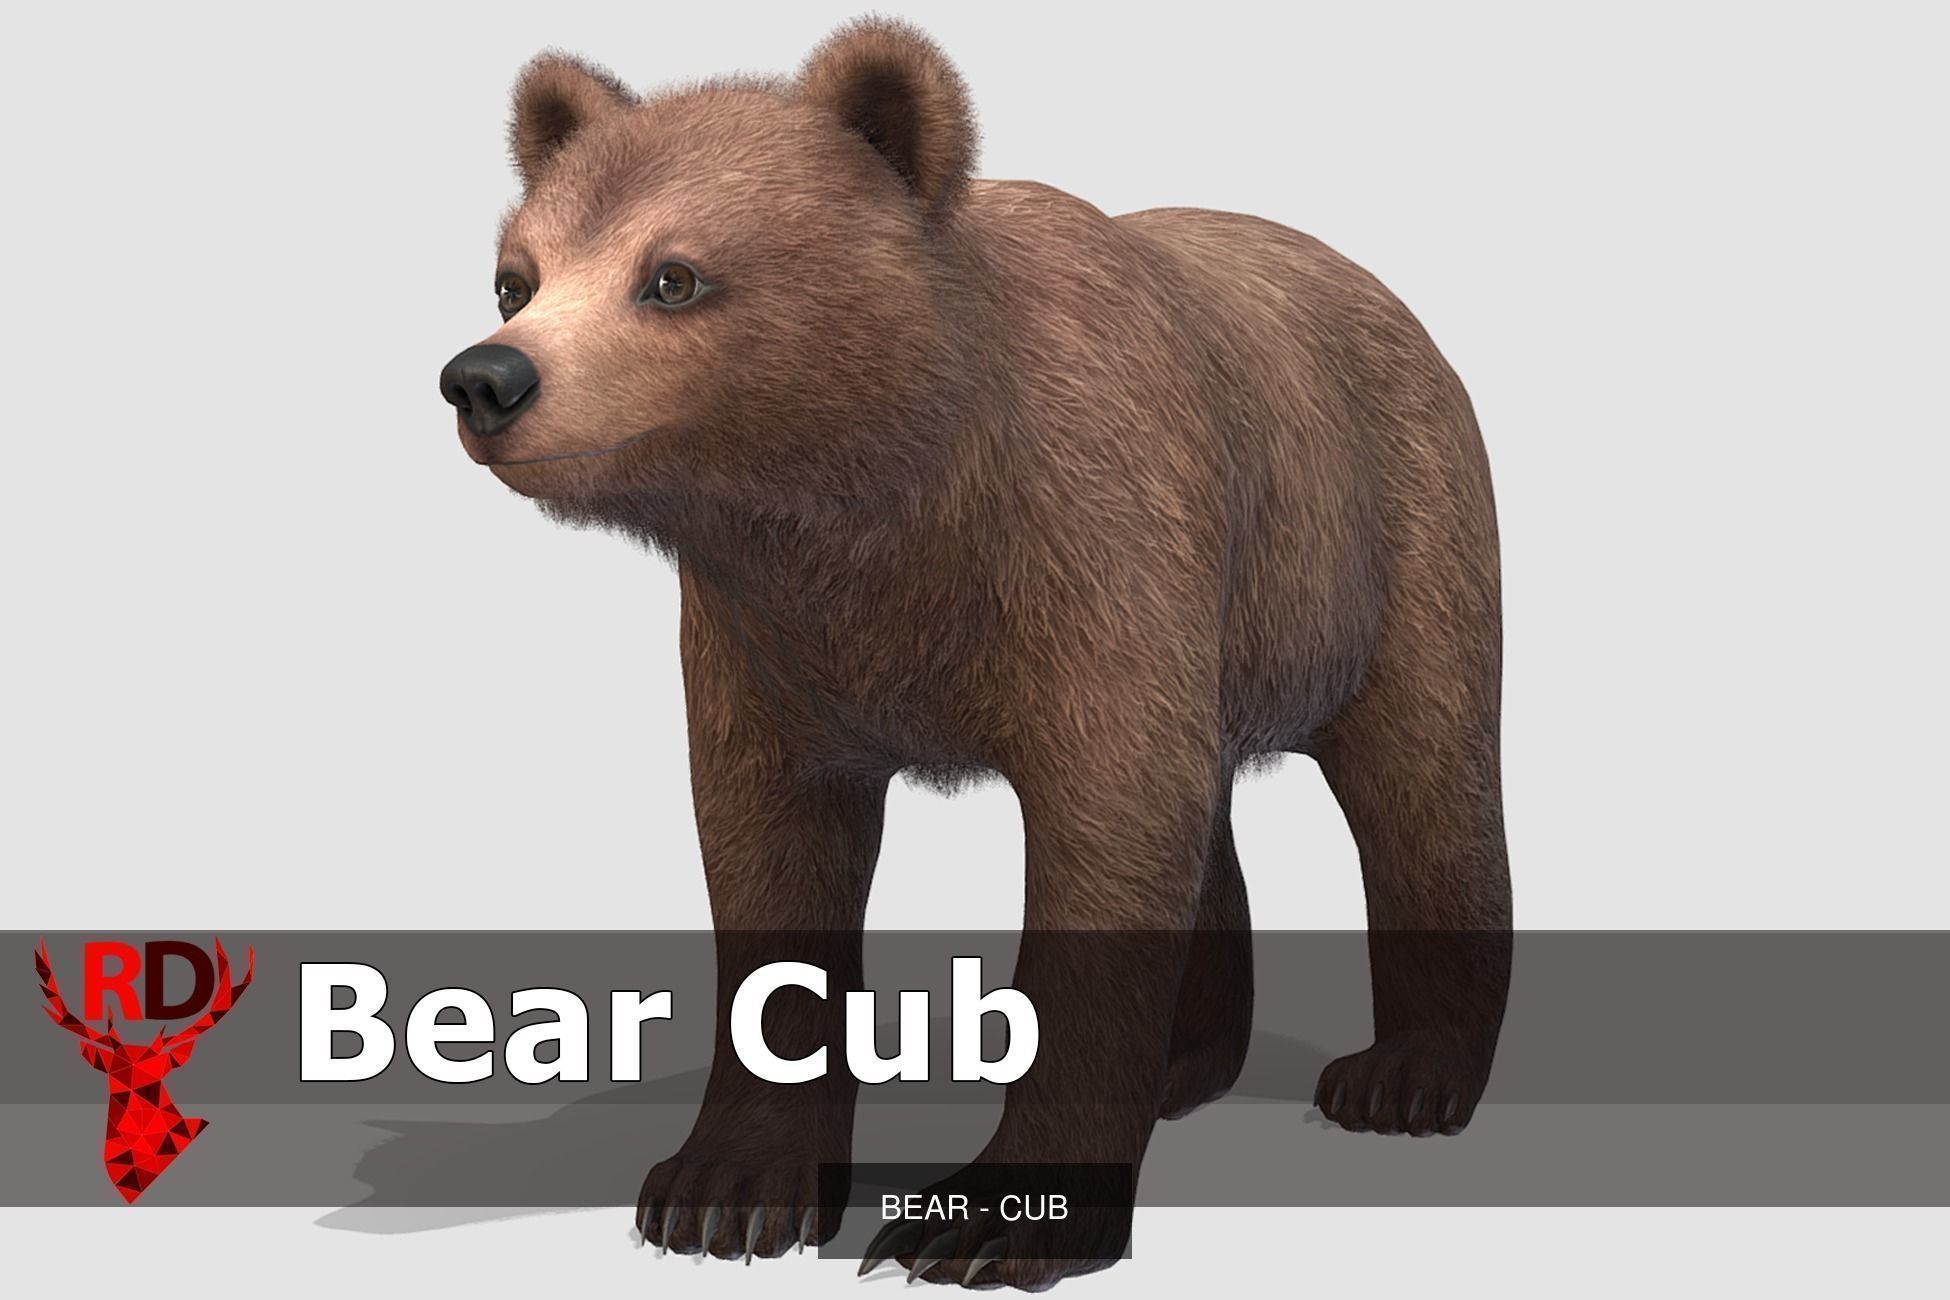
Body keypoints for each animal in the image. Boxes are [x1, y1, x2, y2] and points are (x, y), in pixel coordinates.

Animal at [439, 17, 1511, 1288]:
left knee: (1423, 778)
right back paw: (1187, 1061)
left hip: (1383, 540)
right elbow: (769, 860)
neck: (887, 500)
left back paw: (1406, 1074)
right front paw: (725, 1187)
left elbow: (1107, 835)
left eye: (673, 275)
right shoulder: (769, 643)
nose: (487, 376)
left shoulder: (1091, 546)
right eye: (516, 276)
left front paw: (989, 1218)